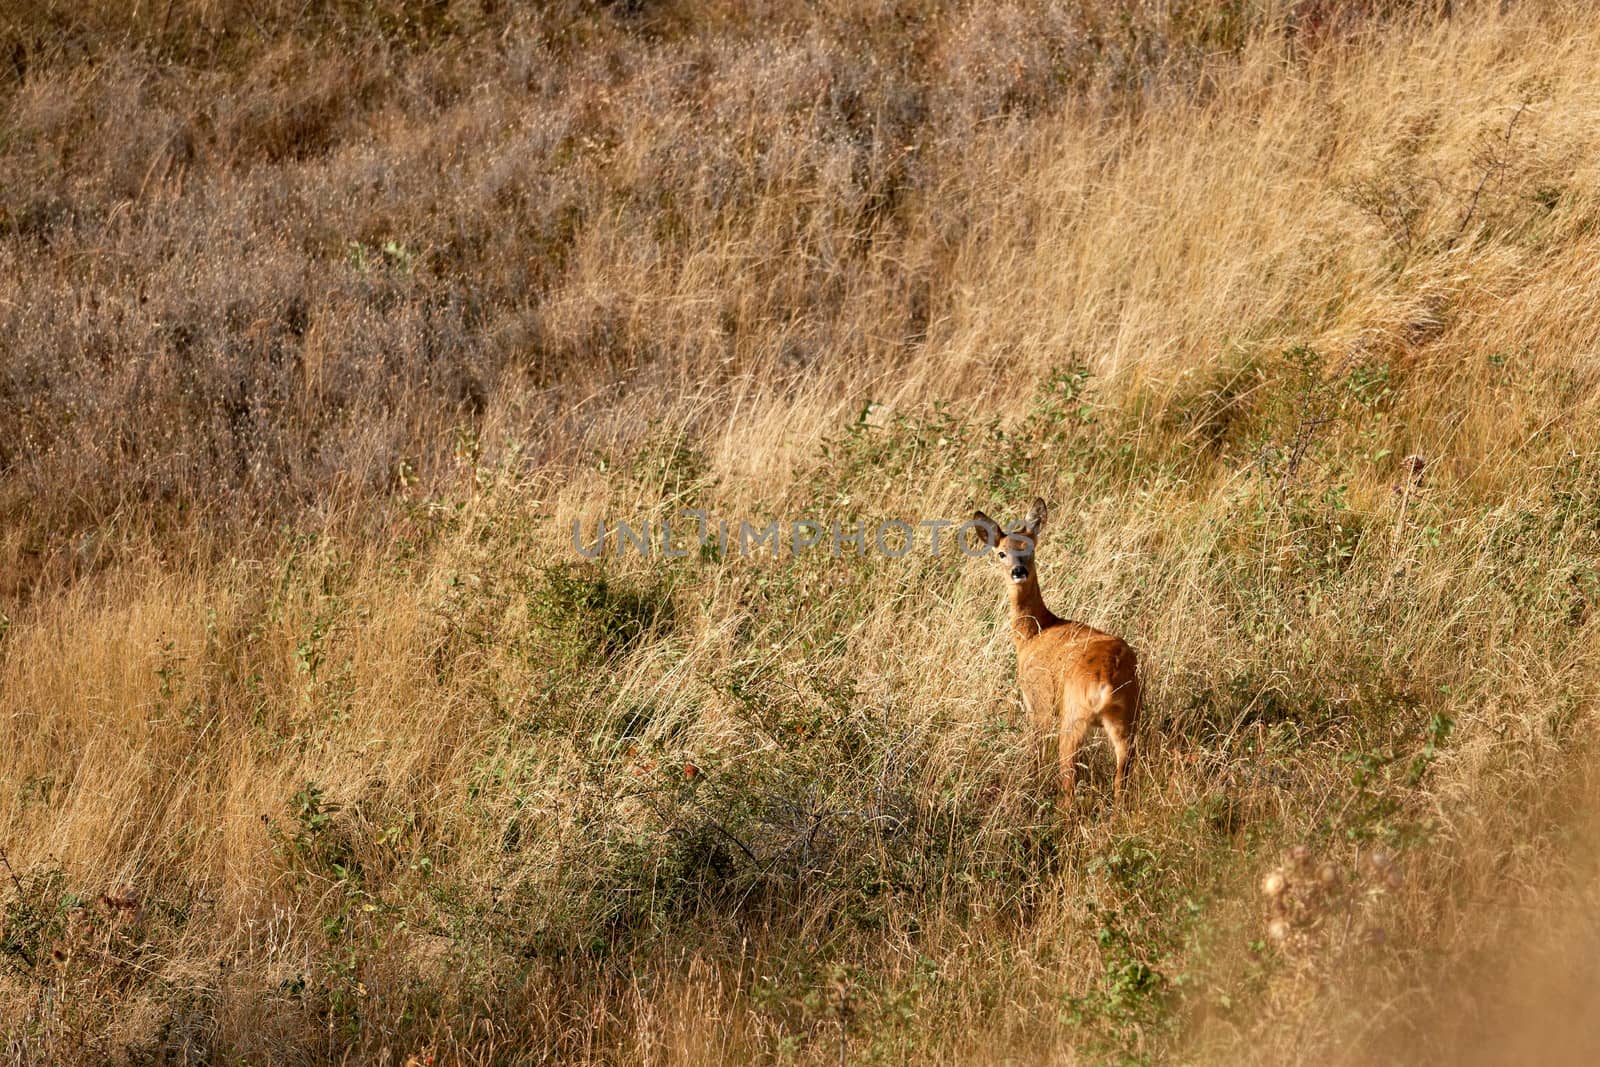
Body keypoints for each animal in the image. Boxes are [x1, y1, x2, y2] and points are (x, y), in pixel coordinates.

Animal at [966, 499, 1145, 799]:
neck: (1034, 633)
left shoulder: (1037, 700)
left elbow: (1036, 749)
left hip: (1072, 716)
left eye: (1030, 548)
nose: (1018, 571)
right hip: (1127, 716)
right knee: (1123, 773)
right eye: (1002, 553)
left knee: (1069, 780)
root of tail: (1106, 682)